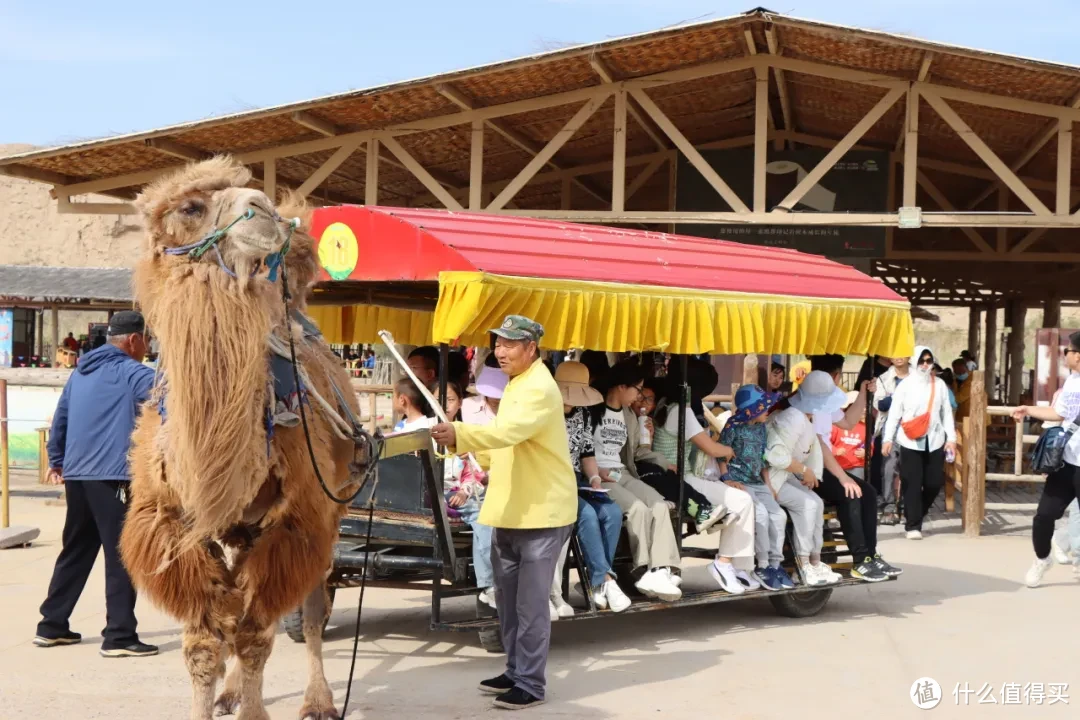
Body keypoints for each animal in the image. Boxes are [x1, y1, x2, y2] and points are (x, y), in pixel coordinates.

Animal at [117, 158, 362, 720]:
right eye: (190, 206)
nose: (266, 211)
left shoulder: (298, 520)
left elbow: (256, 636)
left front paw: (256, 709)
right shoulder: (171, 523)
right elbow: (206, 643)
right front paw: (218, 697)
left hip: (330, 510)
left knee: (310, 610)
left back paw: (317, 700)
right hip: (238, 531)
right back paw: (231, 692)